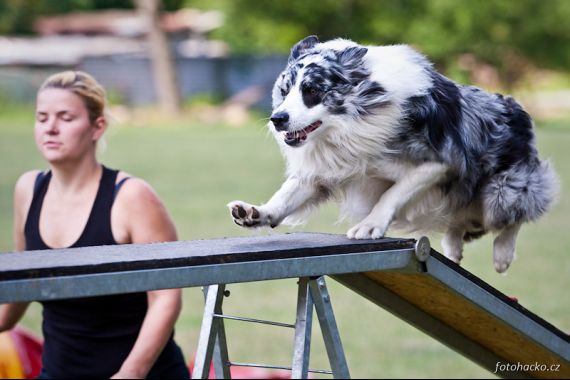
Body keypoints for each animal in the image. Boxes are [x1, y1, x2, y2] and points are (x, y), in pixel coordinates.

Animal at [225, 35, 556, 272]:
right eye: (284, 91)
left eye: (313, 91)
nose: (277, 119)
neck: (353, 121)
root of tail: (515, 106)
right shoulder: (326, 168)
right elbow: (286, 196)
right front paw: (255, 213)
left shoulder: (439, 163)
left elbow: (393, 192)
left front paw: (370, 225)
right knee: (459, 222)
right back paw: (453, 248)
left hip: (500, 192)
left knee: (515, 215)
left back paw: (502, 255)